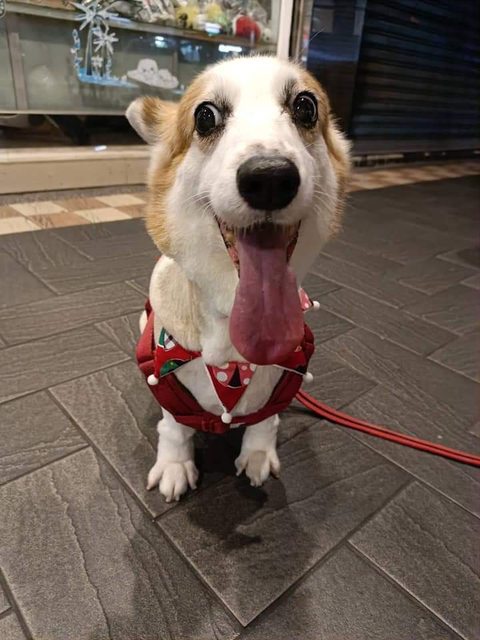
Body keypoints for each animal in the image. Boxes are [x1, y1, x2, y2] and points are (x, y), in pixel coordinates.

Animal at [127, 55, 350, 502]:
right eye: (205, 116)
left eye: (305, 107)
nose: (269, 178)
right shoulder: (167, 384)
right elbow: (174, 427)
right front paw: (175, 465)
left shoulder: (283, 382)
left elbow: (265, 422)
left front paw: (258, 455)